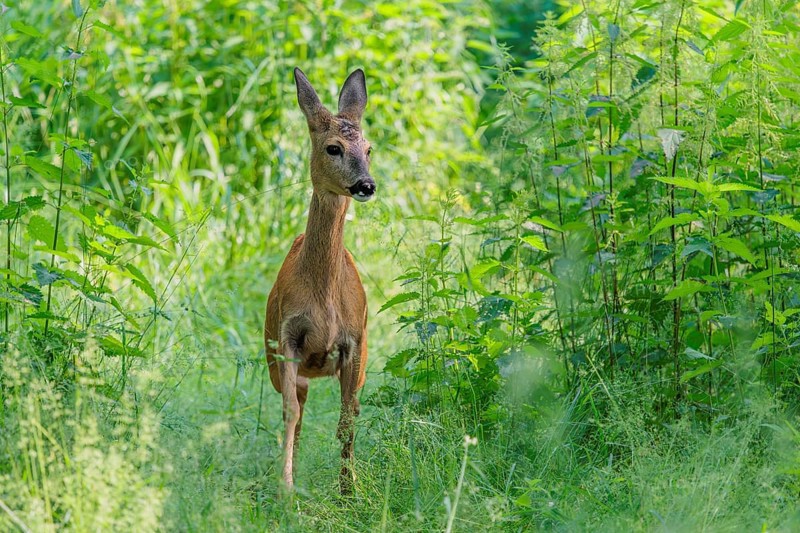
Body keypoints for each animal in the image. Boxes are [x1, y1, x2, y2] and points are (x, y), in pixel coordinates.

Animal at [264, 67, 375, 494]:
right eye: (333, 148)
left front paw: (349, 489)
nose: (366, 185)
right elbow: (290, 413)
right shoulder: (287, 336)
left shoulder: (354, 341)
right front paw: (285, 487)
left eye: (369, 148)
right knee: (298, 406)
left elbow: (347, 417)